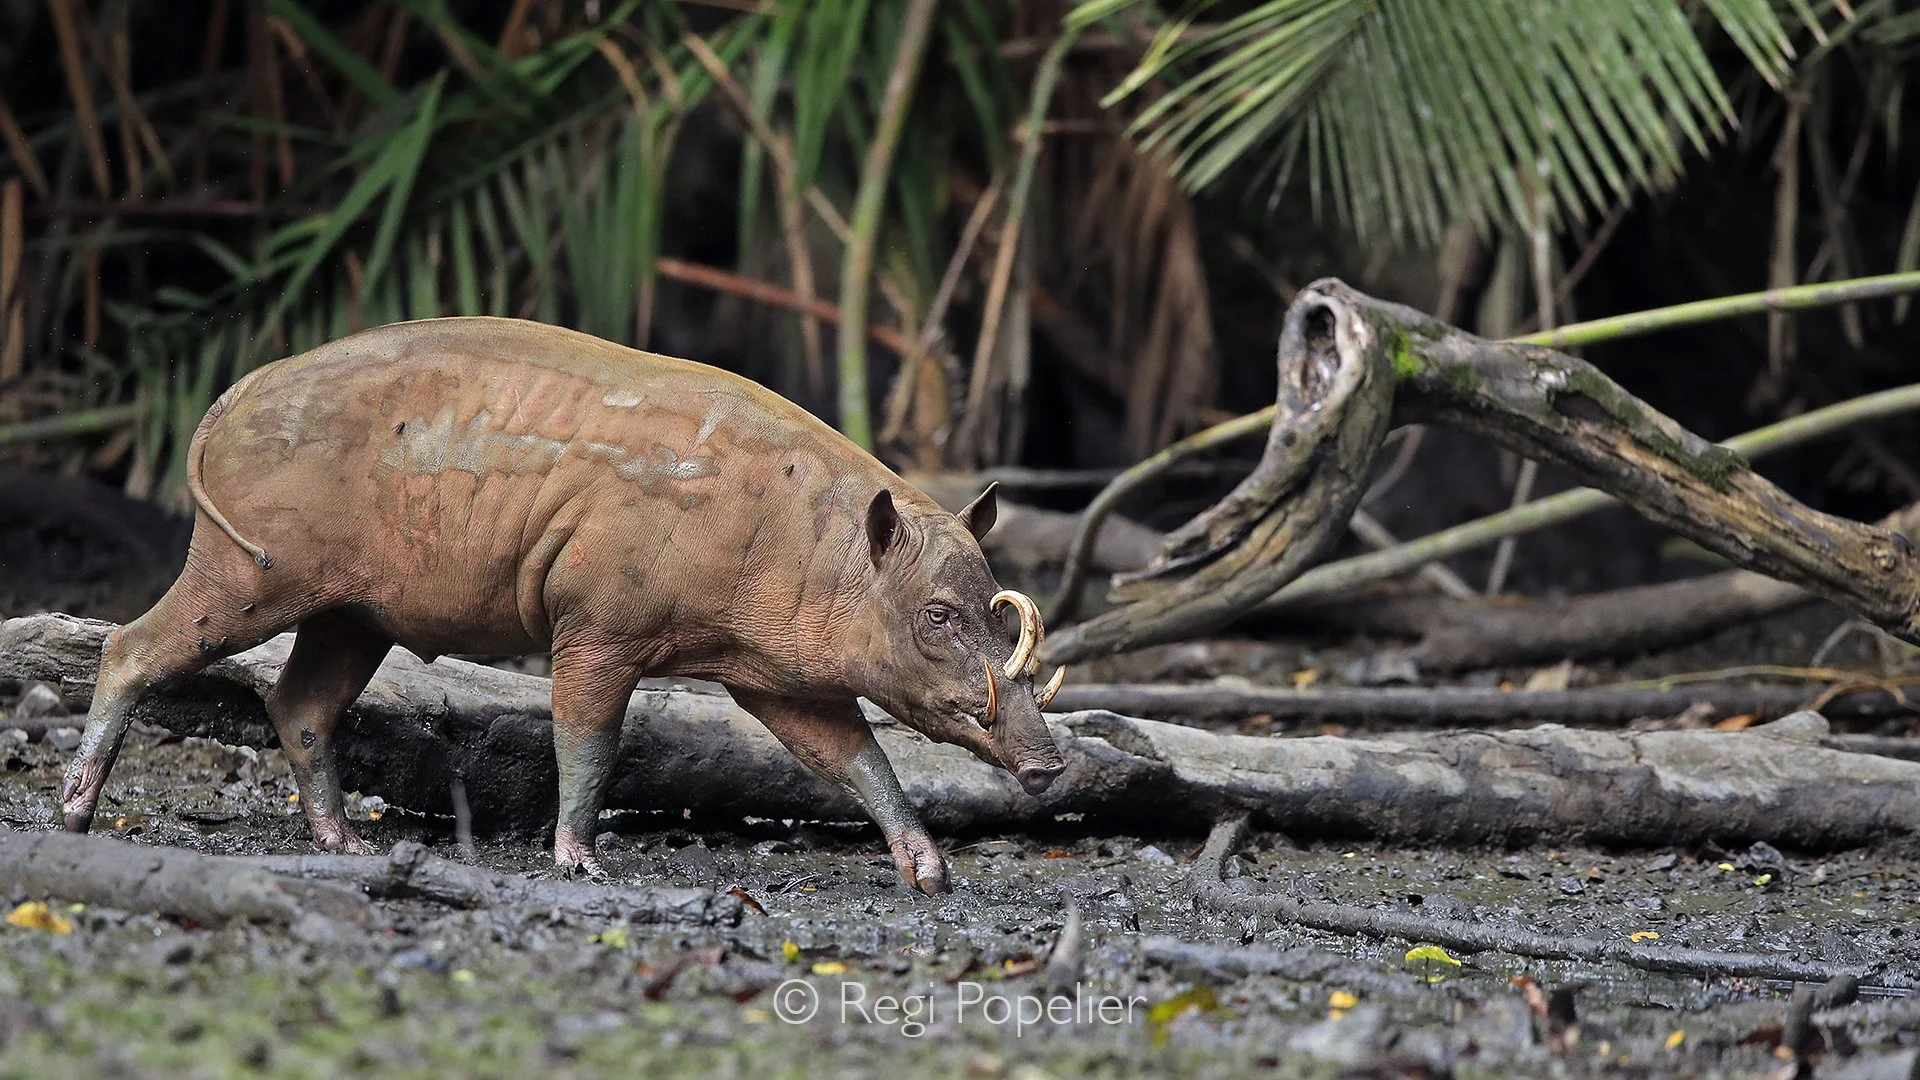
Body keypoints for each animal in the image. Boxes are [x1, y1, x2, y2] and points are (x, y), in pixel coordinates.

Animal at [57, 316, 1068, 893]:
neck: (801, 545)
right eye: (938, 615)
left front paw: (931, 875)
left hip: (351, 613)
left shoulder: (775, 676)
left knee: (298, 703)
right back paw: (73, 816)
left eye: (990, 604)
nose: (1051, 764)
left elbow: (852, 757)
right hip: (248, 571)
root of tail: (230, 397)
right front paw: (583, 865)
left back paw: (343, 847)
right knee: (132, 646)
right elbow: (590, 739)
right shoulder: (599, 625)